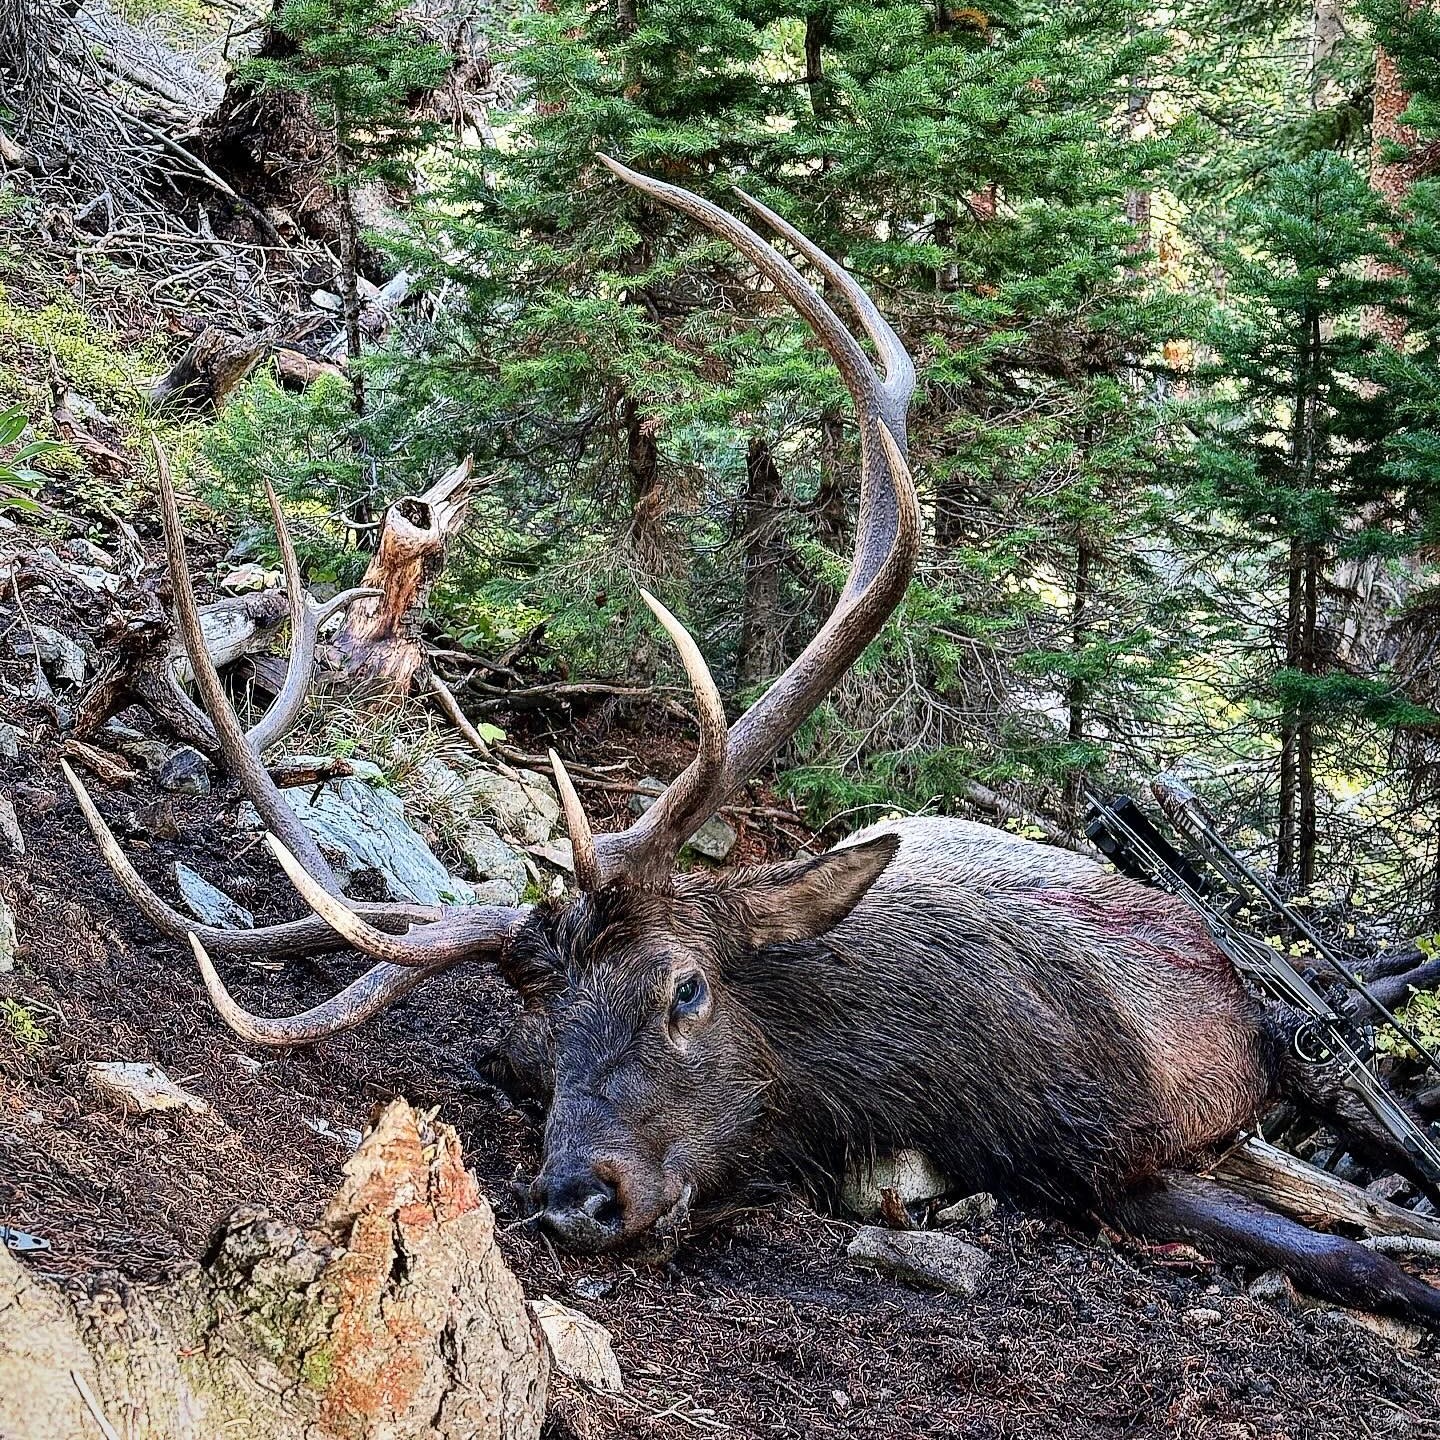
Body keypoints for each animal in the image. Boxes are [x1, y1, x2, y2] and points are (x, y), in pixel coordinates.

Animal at [64, 157, 1440, 1324]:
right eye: (541, 1028)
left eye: (687, 987)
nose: (578, 1197)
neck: (918, 1085)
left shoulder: (1132, 1135)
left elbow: (1358, 1251)